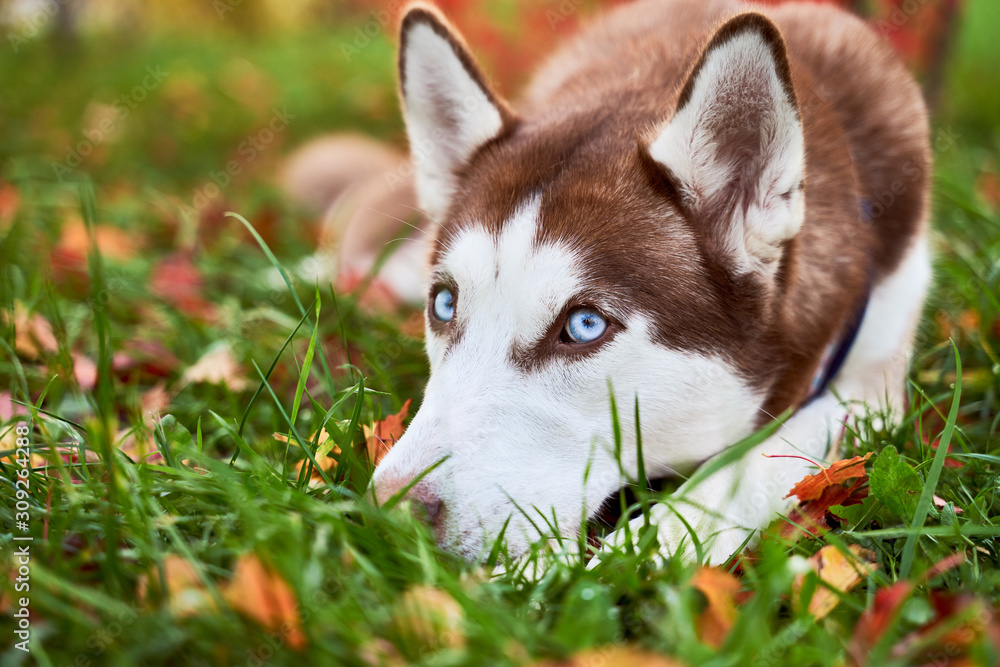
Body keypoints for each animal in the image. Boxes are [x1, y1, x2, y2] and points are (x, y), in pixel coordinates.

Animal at [372, 0, 932, 564]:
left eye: (584, 325)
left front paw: (625, 555)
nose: (392, 506)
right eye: (445, 305)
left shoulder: (873, 382)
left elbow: (755, 467)